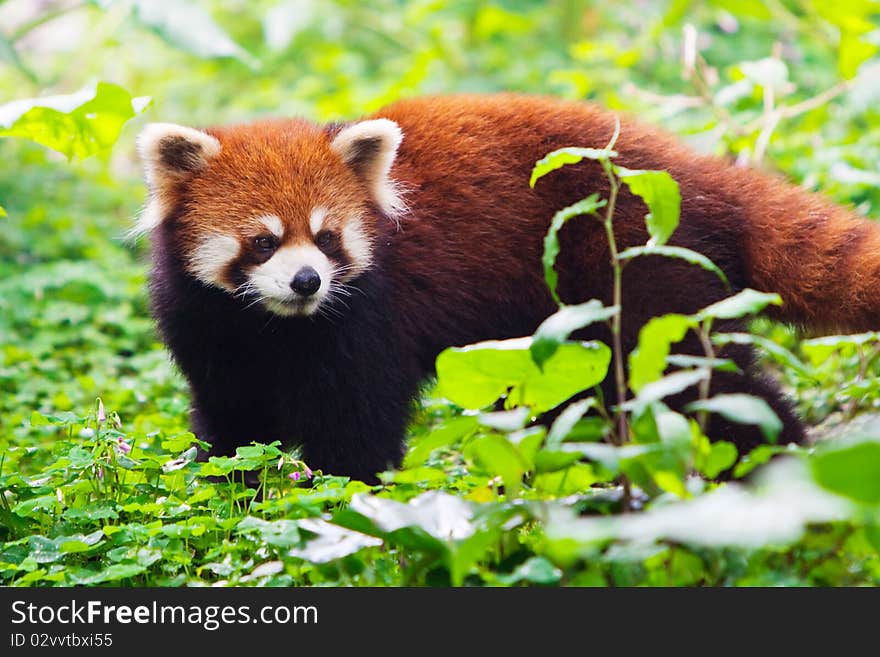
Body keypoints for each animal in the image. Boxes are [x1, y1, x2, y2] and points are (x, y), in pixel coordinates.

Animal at [136, 93, 880, 482]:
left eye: (326, 237)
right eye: (263, 241)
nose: (307, 280)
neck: (274, 325)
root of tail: (698, 175)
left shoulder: (370, 319)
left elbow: (357, 428)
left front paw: (348, 498)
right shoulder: (211, 332)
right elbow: (233, 422)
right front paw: (225, 476)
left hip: (639, 279)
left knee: (709, 385)